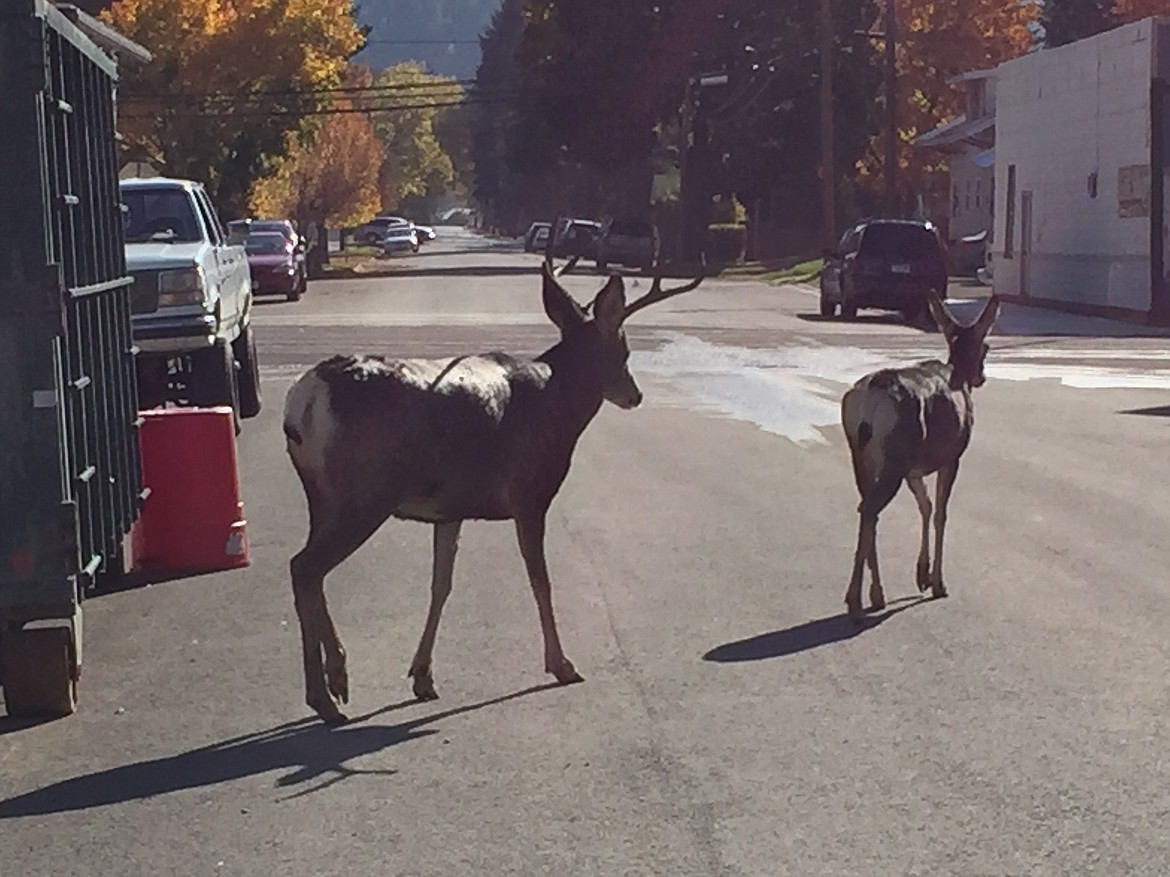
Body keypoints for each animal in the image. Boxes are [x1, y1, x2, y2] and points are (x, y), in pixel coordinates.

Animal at [283, 257, 702, 724]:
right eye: (623, 350)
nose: (636, 395)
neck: (559, 404)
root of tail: (304, 401)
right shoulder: (530, 494)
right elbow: (540, 580)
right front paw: (562, 665)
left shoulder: (451, 509)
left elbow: (441, 585)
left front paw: (423, 676)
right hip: (366, 494)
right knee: (305, 567)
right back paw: (325, 696)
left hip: (320, 497)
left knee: (309, 571)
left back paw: (336, 681)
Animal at [842, 292, 996, 622]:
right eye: (986, 346)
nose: (981, 377)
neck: (958, 378)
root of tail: (868, 402)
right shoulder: (952, 457)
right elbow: (940, 513)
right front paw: (938, 583)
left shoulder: (915, 469)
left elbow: (925, 507)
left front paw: (922, 575)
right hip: (895, 457)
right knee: (870, 509)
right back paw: (857, 600)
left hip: (861, 455)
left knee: (865, 507)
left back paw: (875, 595)